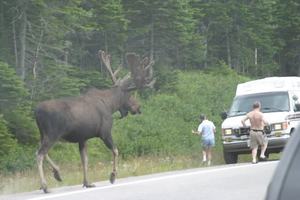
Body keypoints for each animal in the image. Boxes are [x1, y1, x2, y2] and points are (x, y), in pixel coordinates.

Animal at [35, 49, 155, 192]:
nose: (138, 107)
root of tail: (36, 112)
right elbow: (116, 151)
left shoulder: (82, 138)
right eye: (130, 95)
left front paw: (87, 182)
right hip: (53, 134)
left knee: (40, 151)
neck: (111, 105)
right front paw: (113, 175)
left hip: (43, 134)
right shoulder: (105, 132)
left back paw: (57, 173)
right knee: (39, 154)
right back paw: (45, 185)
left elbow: (85, 160)